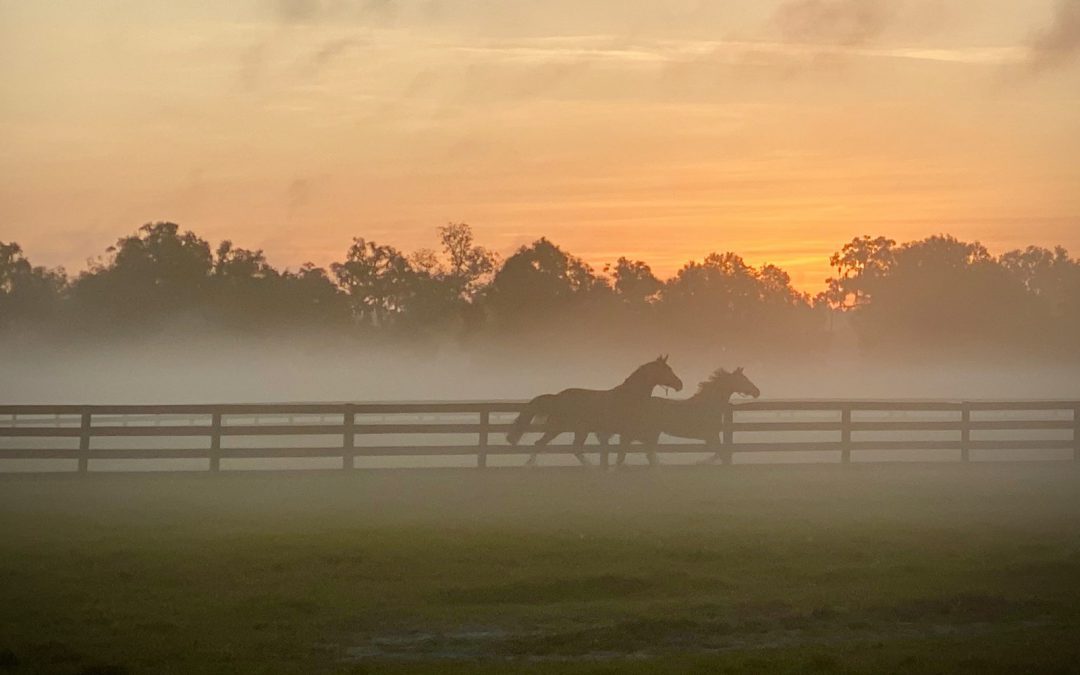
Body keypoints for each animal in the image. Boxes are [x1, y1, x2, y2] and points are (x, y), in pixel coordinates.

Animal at [507, 356, 682, 466]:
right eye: (666, 370)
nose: (680, 384)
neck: (630, 397)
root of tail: (557, 396)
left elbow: (645, 451)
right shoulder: (627, 433)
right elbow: (623, 454)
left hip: (576, 430)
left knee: (570, 447)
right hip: (560, 428)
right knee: (543, 444)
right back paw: (530, 465)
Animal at [613, 365, 764, 466]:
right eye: (743, 379)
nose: (757, 391)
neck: (709, 404)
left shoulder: (712, 437)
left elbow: (719, 454)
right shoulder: (711, 436)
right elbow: (721, 454)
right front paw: (702, 462)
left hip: (652, 433)